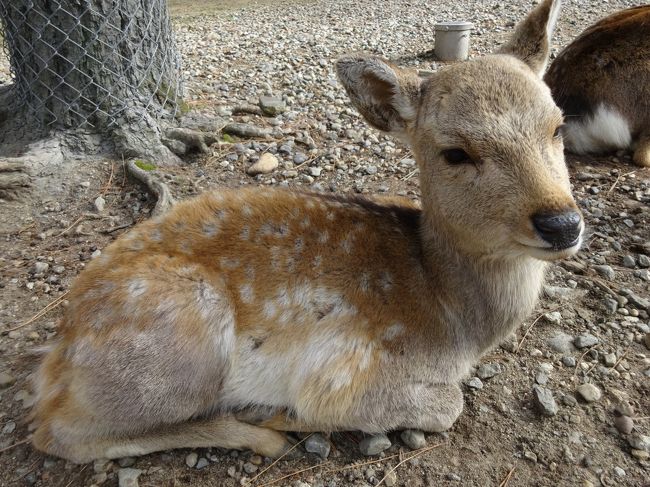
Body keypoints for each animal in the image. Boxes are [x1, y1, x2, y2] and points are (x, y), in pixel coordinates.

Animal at [30, 0, 583, 463]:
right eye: (455, 153)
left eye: (558, 126)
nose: (562, 223)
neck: (455, 323)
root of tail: (56, 358)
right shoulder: (343, 371)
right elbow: (448, 405)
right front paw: (289, 416)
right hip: (181, 338)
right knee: (59, 434)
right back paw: (259, 428)